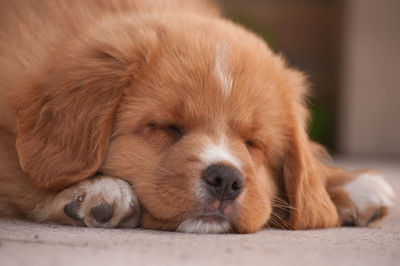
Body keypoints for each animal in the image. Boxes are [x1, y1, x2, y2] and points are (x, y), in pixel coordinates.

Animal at [0, 0, 394, 233]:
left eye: (254, 143)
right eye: (166, 127)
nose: (226, 180)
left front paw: (345, 186)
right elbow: (20, 175)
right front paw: (96, 190)